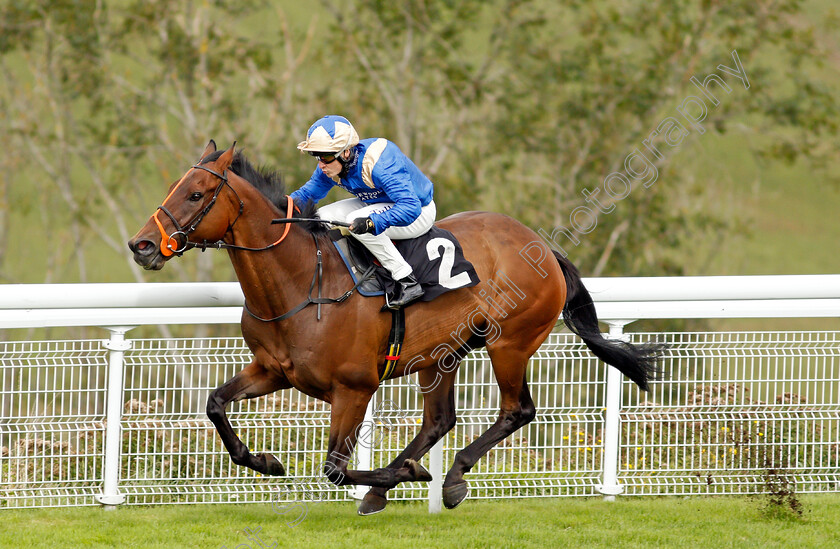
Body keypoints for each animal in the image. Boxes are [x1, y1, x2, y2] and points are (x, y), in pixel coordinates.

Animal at [128, 141, 664, 512]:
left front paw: (401, 476)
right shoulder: (274, 370)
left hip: (509, 343)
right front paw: (265, 461)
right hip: (442, 353)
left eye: (196, 193)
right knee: (440, 419)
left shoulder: (354, 387)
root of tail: (543, 247)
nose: (142, 246)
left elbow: (335, 468)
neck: (302, 284)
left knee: (518, 410)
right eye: (173, 189)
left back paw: (449, 478)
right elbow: (215, 404)